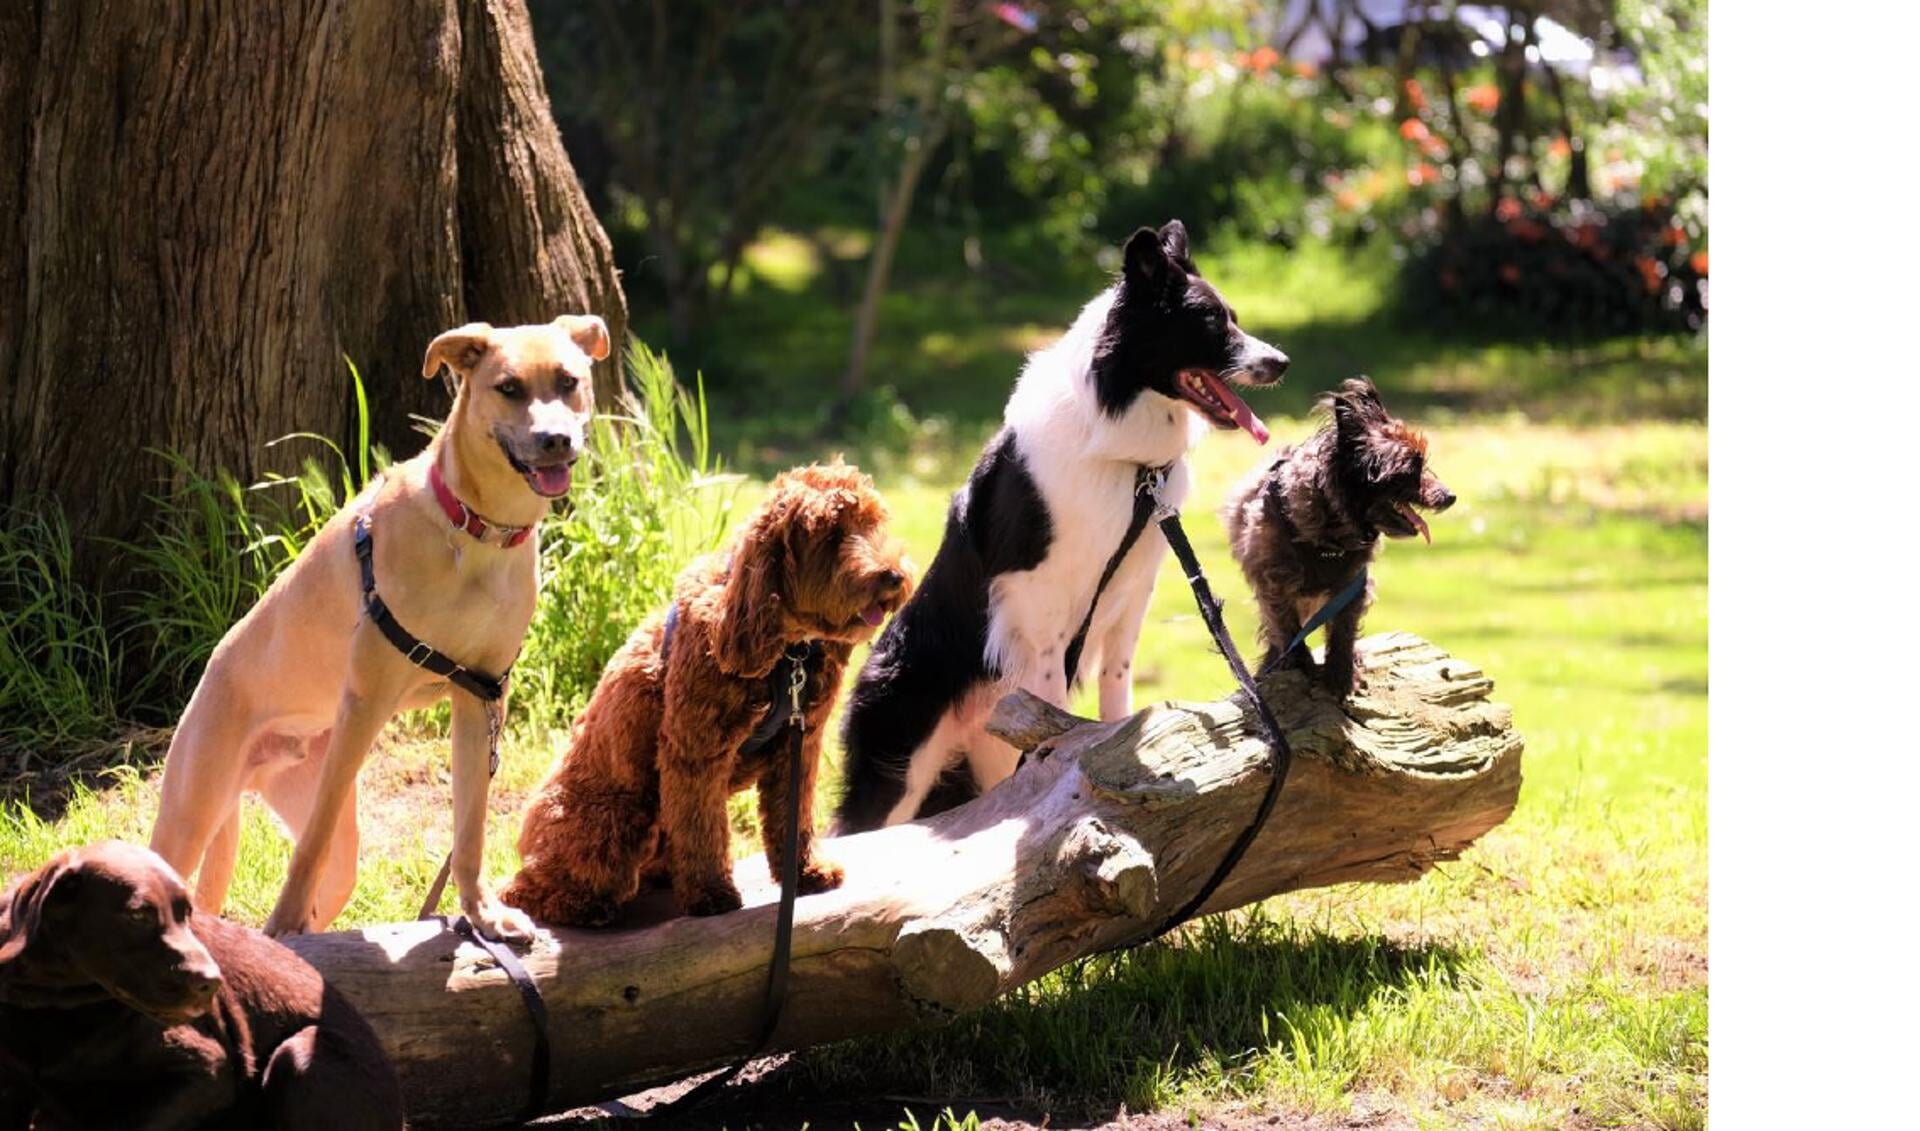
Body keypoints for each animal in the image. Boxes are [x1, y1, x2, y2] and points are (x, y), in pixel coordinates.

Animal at [149, 312, 606, 940]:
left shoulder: (481, 696)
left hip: (337, 845)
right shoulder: (365, 702)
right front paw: (280, 925)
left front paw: (482, 914)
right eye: (509, 387)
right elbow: (307, 849)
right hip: (192, 812)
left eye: (568, 381)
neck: (474, 531)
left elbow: (470, 829)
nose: (555, 440)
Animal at [503, 460, 906, 925]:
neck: (786, 651)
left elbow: (793, 817)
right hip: (615, 822)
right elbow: (702, 830)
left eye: (873, 523)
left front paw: (805, 872)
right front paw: (711, 894)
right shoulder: (695, 750)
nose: (894, 575)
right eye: (832, 535)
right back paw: (584, 907)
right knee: (524, 890)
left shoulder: (799, 745)